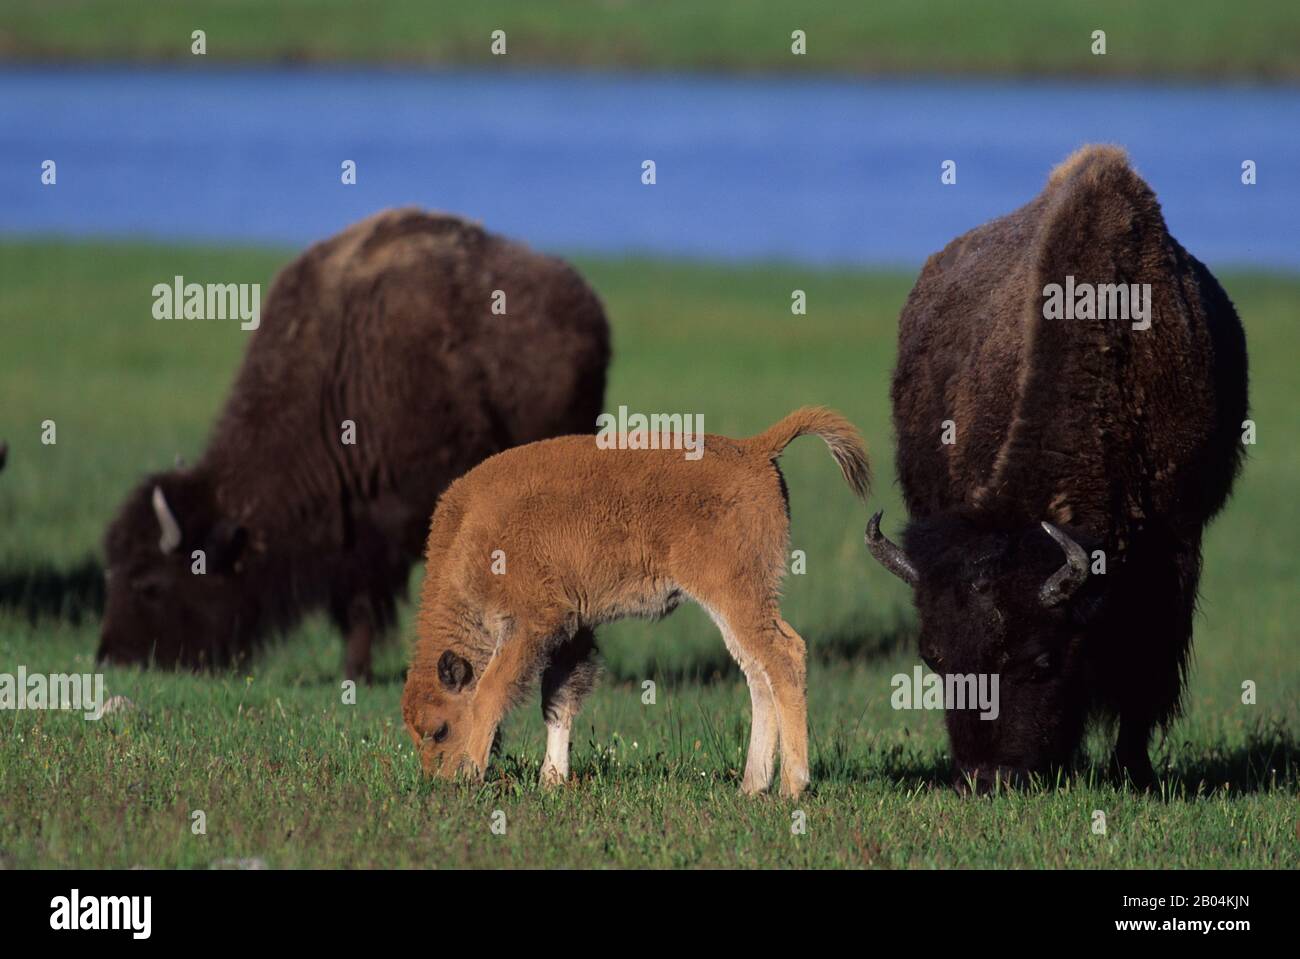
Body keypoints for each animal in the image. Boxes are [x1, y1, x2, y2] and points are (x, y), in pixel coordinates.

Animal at [401, 407, 870, 797]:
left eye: (440, 730)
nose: (435, 781)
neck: (466, 534)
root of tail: (752, 448)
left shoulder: (532, 624)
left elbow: (492, 692)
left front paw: (471, 773)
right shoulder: (572, 630)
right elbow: (559, 701)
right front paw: (552, 781)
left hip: (736, 596)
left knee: (784, 656)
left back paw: (792, 786)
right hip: (736, 605)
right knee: (758, 672)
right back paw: (752, 786)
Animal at [866, 146, 1248, 791]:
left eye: (1041, 660)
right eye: (933, 658)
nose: (985, 778)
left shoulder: (1174, 545)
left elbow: (1145, 671)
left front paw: (1134, 770)